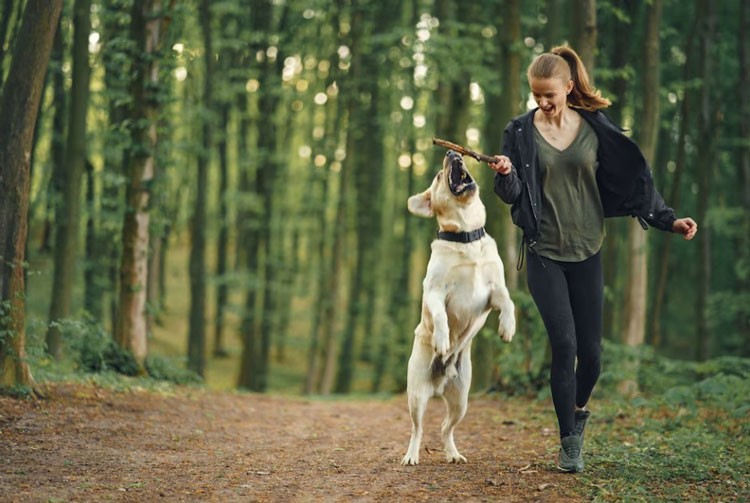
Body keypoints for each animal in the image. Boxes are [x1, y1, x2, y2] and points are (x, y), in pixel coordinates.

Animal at [402, 152, 516, 466]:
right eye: (439, 176)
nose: (453, 153)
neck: (466, 235)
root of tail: (439, 384)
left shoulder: (494, 290)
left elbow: (509, 301)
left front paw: (508, 327)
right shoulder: (434, 292)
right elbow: (440, 316)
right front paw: (442, 340)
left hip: (461, 400)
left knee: (445, 427)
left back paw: (452, 453)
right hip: (416, 396)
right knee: (418, 429)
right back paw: (411, 456)